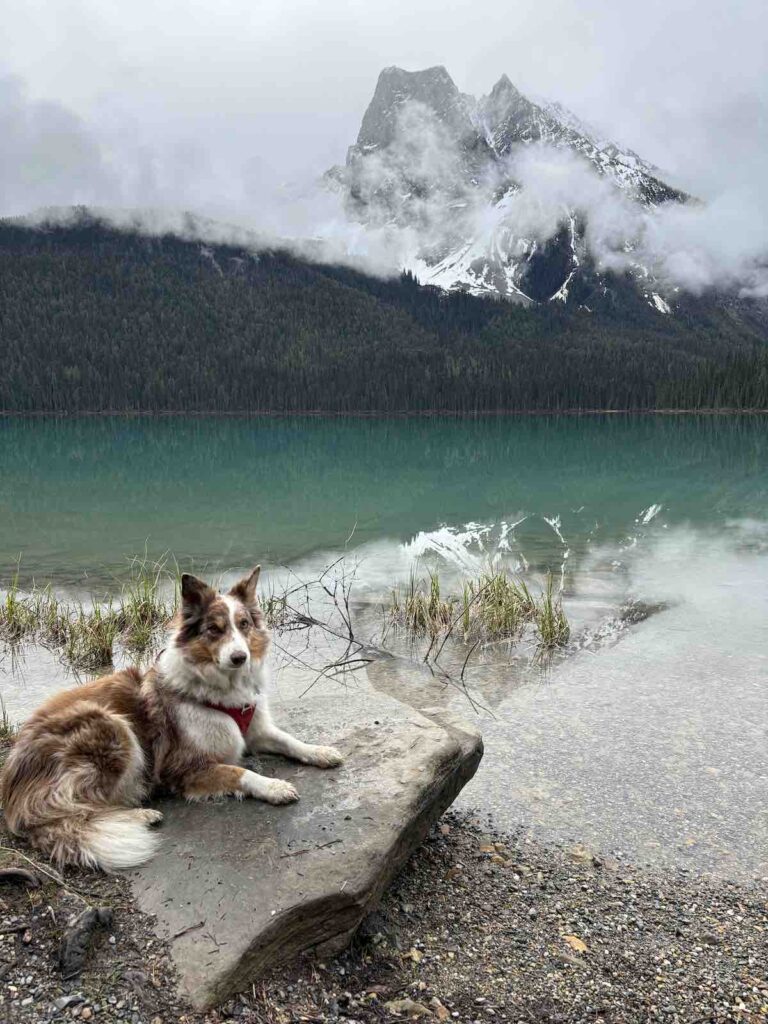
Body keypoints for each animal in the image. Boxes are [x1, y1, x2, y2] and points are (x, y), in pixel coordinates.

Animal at [0, 569, 342, 872]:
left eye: (244, 625)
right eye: (214, 629)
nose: (239, 657)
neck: (221, 689)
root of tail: (13, 782)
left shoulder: (255, 728)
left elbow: (288, 739)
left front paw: (319, 752)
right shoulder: (184, 767)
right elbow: (239, 772)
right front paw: (274, 786)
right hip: (110, 726)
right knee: (64, 812)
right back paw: (140, 816)